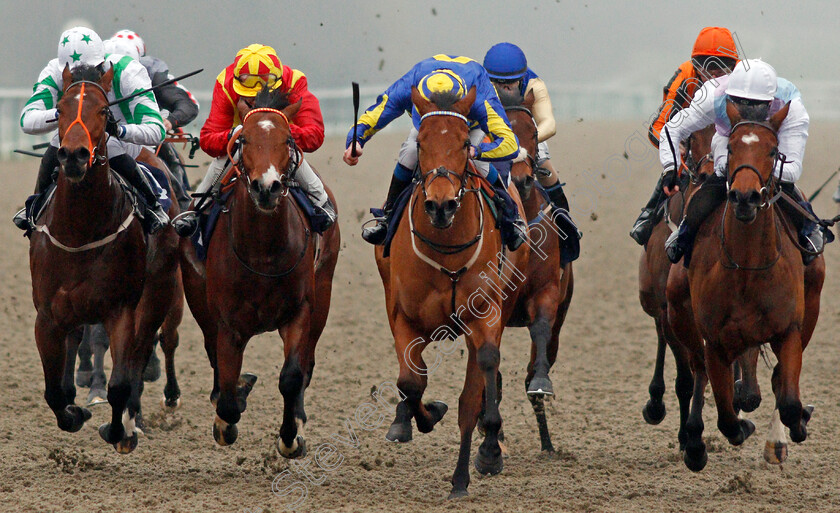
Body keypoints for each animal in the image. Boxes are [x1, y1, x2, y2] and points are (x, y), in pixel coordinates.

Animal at [29, 65, 182, 452]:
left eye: (103, 111)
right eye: (59, 110)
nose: (73, 155)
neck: (80, 231)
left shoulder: (121, 311)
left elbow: (121, 384)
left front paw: (118, 430)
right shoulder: (48, 314)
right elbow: (54, 391)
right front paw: (76, 412)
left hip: (160, 291)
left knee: (146, 350)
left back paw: (136, 417)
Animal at [182, 89, 340, 456]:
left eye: (288, 139)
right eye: (243, 139)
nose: (266, 187)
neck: (264, 253)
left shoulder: (300, 311)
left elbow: (292, 376)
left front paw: (290, 437)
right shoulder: (227, 323)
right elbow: (226, 389)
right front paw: (227, 418)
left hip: (323, 295)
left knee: (307, 363)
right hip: (198, 300)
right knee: (214, 359)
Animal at [378, 86, 528, 498]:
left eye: (464, 143)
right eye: (422, 143)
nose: (442, 205)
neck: (446, 247)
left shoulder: (486, 315)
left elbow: (479, 384)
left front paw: (476, 462)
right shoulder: (404, 317)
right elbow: (411, 381)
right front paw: (426, 416)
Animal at [668, 102, 828, 470]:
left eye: (772, 151)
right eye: (730, 148)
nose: (744, 197)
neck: (748, 267)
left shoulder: (789, 330)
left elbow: (789, 400)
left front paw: (793, 426)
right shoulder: (715, 342)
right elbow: (727, 416)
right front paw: (739, 426)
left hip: (811, 302)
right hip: (679, 309)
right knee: (698, 369)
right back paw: (695, 443)